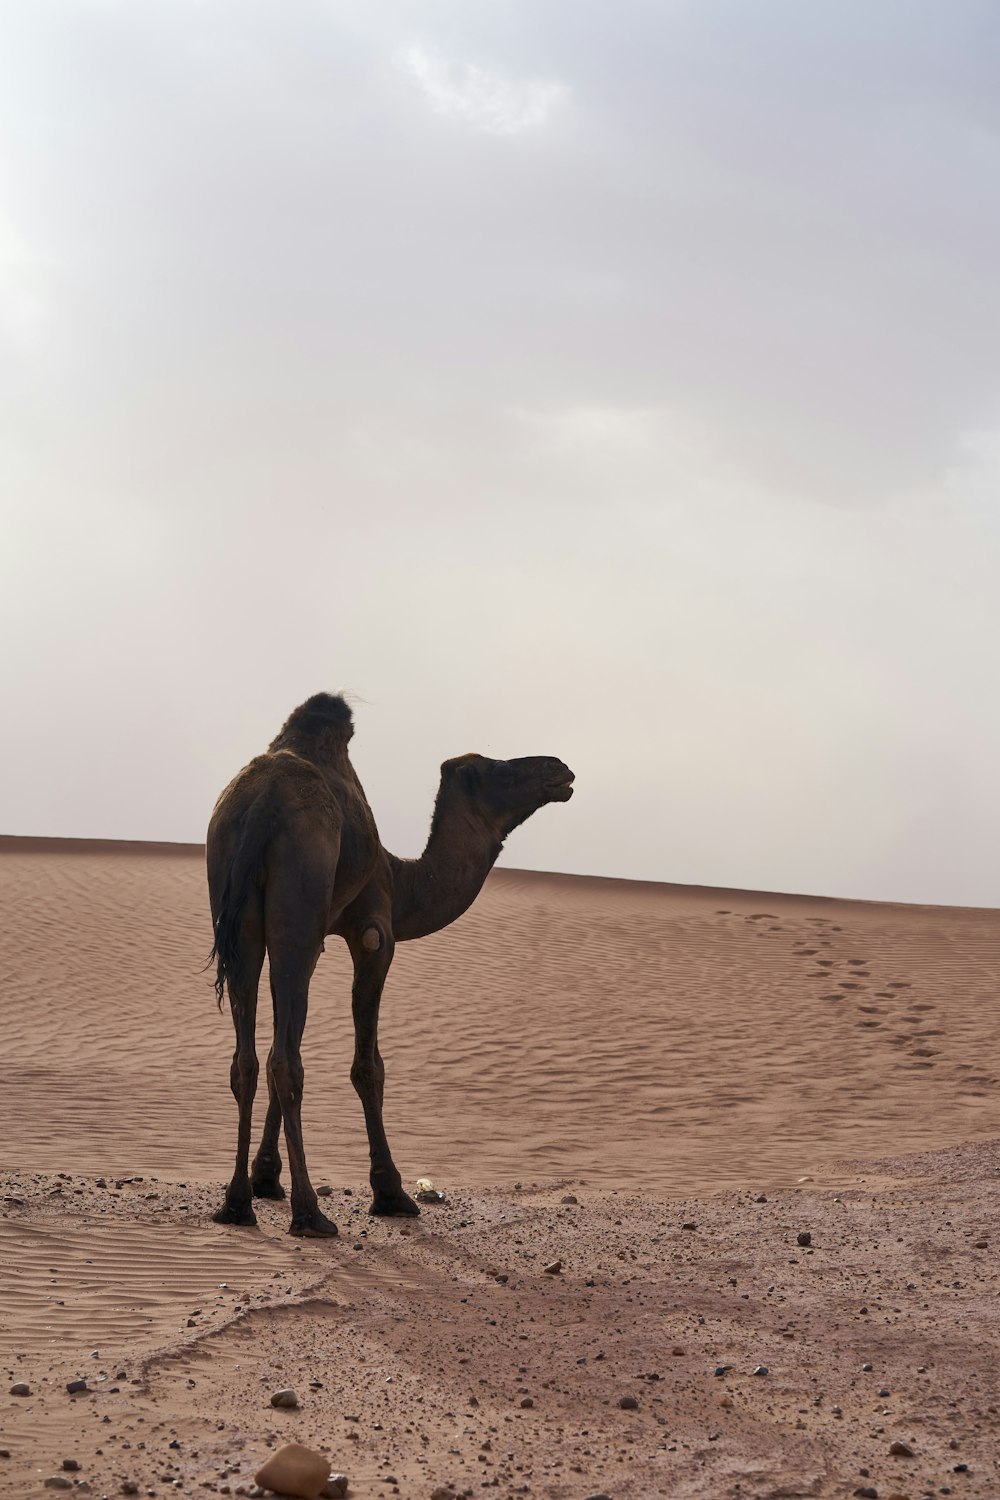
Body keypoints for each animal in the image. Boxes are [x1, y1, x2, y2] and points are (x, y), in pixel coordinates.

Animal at [206, 690, 575, 1230]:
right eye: (501, 768)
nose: (559, 768)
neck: (402, 880)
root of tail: (259, 807)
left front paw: (265, 1179)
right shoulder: (375, 932)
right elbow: (369, 1066)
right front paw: (391, 1191)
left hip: (237, 915)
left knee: (250, 1060)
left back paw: (235, 1204)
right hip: (299, 899)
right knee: (285, 1062)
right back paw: (310, 1213)